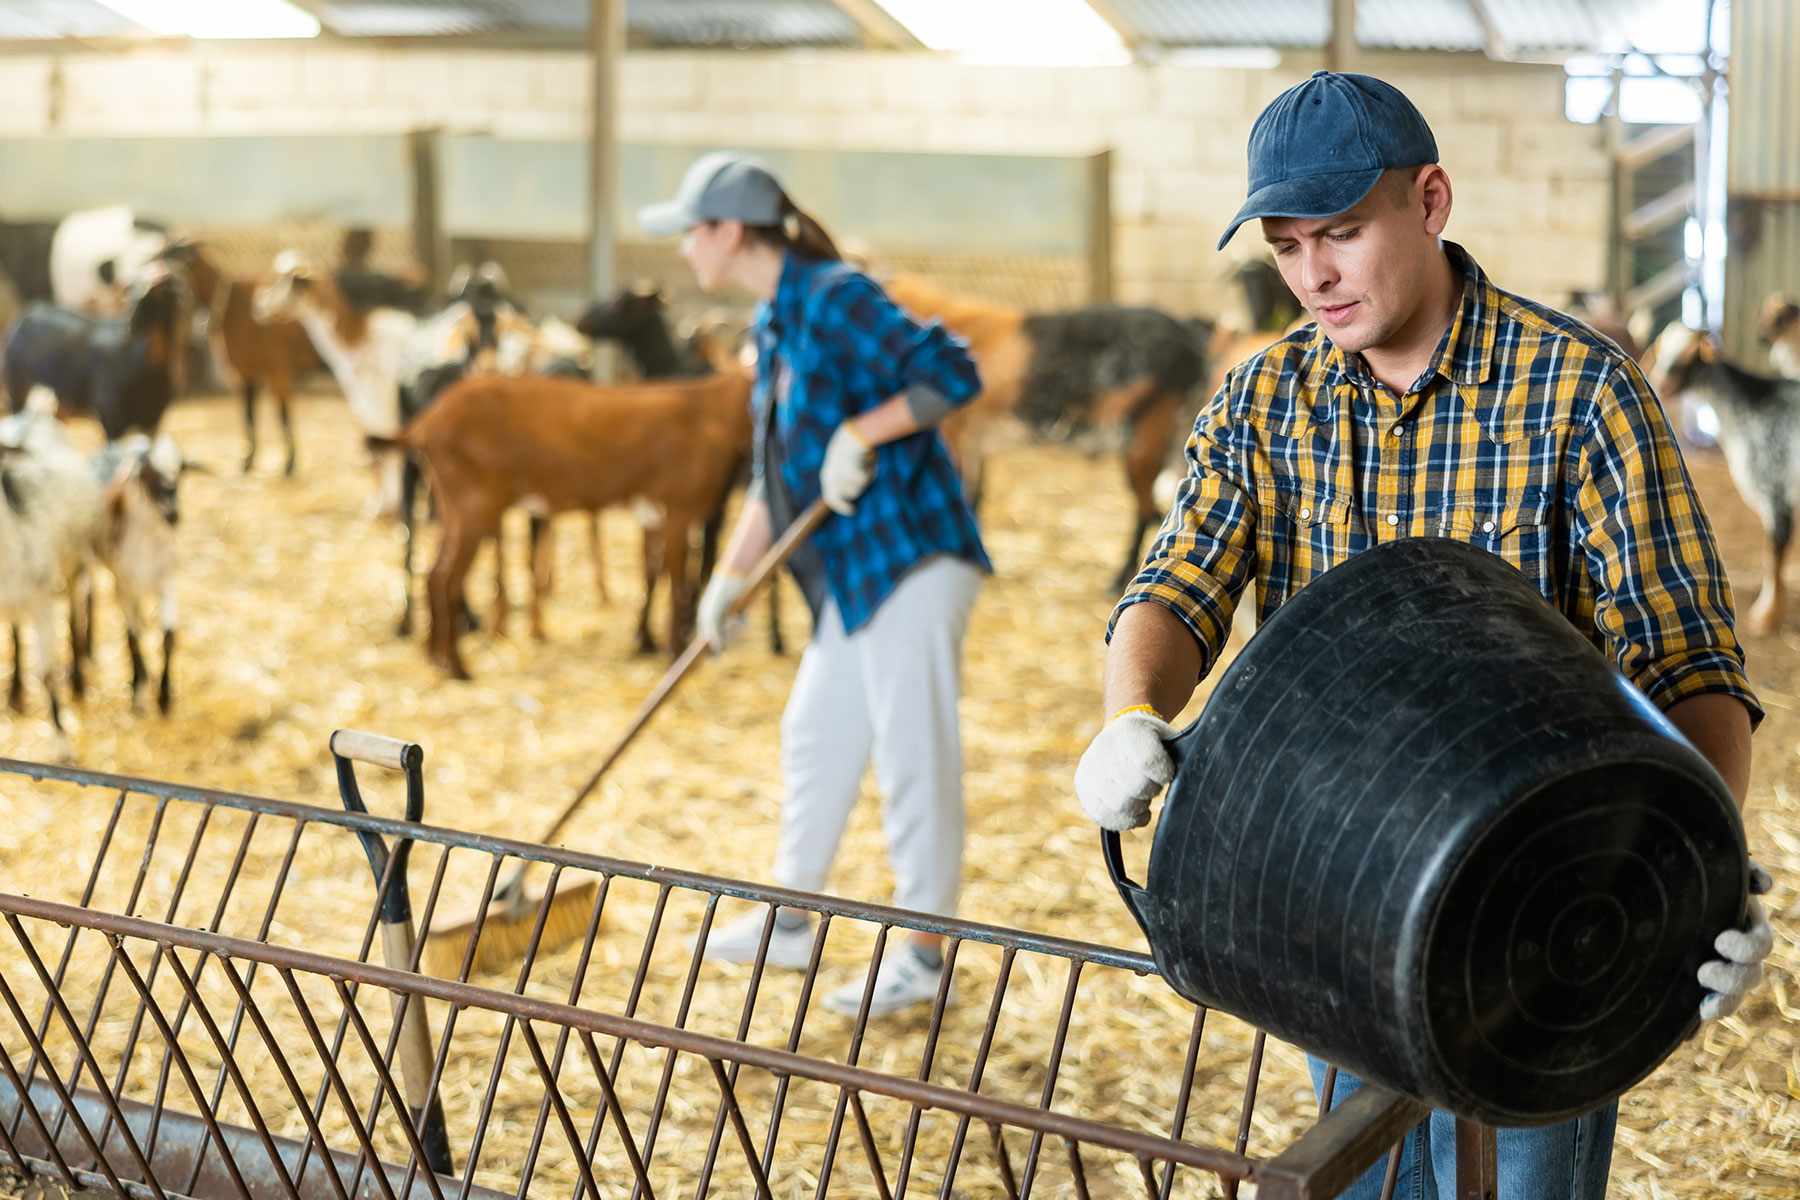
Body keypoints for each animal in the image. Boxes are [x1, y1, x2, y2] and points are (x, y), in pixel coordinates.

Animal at [3, 271, 186, 440]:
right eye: (132, 294)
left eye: (159, 293)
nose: (129, 327)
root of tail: (27, 314)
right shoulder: (110, 416)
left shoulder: (152, 421)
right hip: (17, 383)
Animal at [159, 237, 327, 474]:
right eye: (160, 254)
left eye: (185, 257)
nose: (166, 280)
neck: (233, 304)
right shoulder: (245, 374)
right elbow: (249, 416)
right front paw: (247, 463)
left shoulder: (278, 372)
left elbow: (283, 415)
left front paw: (290, 464)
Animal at [379, 370, 752, 676]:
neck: (715, 410)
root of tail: (427, 421)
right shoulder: (677, 510)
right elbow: (677, 586)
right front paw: (673, 652)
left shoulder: (654, 514)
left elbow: (651, 573)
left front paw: (645, 642)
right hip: (473, 505)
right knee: (447, 579)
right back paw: (458, 668)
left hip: (450, 506)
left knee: (432, 573)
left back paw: (434, 657)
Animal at [885, 273, 1209, 590]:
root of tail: (1188, 340)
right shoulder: (976, 440)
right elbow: (976, 495)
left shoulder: (956, 432)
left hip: (1146, 431)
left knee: (1146, 507)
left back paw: (1118, 580)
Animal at [1648, 323, 1800, 633]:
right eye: (1661, 349)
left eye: (1690, 353)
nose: (1660, 383)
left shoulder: (1774, 488)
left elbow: (1773, 555)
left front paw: (1767, 616)